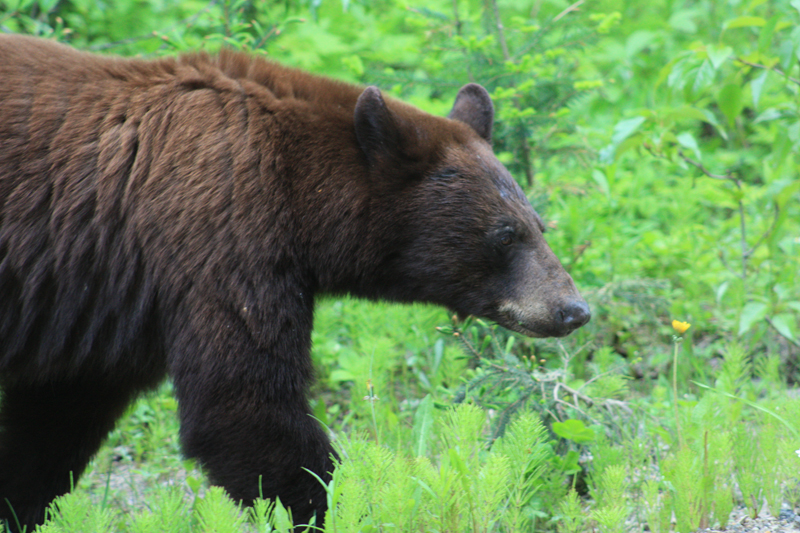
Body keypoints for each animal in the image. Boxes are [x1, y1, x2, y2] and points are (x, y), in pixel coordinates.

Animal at [0, 35, 588, 528]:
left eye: (538, 225)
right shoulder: (221, 235)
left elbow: (55, 421)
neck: (300, 188)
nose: (574, 309)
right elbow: (245, 406)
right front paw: (347, 508)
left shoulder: (97, 303)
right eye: (505, 235)